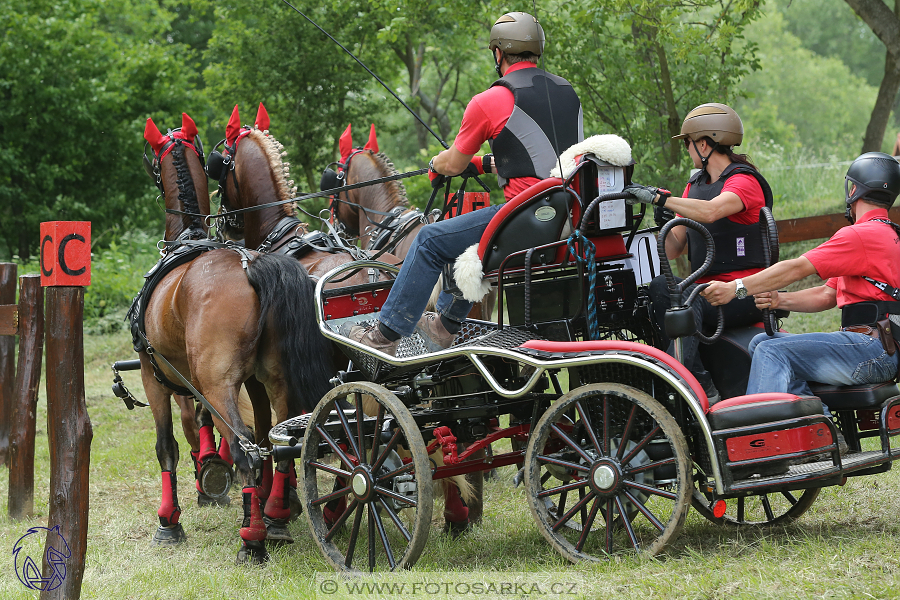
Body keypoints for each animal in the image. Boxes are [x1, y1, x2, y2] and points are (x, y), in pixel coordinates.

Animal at [142, 115, 332, 564]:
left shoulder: (152, 376)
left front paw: (168, 522)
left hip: (214, 383)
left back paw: (253, 540)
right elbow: (259, 434)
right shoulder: (251, 382)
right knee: (283, 441)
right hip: (275, 380)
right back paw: (273, 516)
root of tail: (250, 266)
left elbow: (166, 448)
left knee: (246, 448)